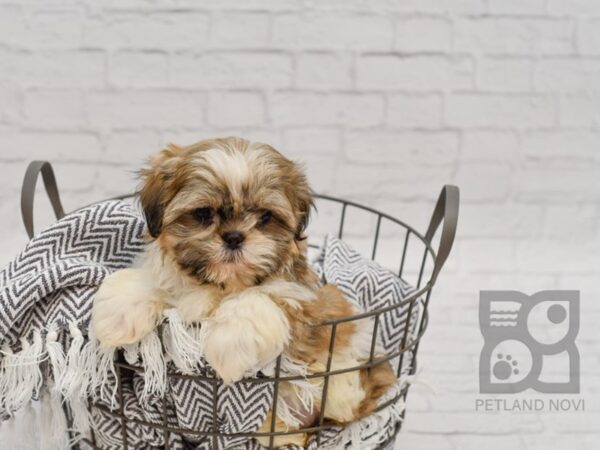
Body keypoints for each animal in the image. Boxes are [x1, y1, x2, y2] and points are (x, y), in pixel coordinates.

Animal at [91, 137, 396, 446]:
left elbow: (257, 299)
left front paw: (231, 347)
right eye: (203, 214)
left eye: (265, 216)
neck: (223, 285)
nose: (234, 237)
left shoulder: (308, 299)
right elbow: (154, 282)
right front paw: (115, 317)